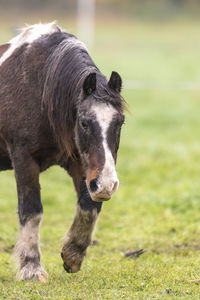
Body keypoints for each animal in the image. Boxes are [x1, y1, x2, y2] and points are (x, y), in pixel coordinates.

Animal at [0, 22, 125, 282]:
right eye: (85, 122)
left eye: (120, 122)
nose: (107, 185)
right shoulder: (23, 158)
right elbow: (32, 210)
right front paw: (31, 268)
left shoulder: (80, 163)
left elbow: (89, 206)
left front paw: (72, 254)